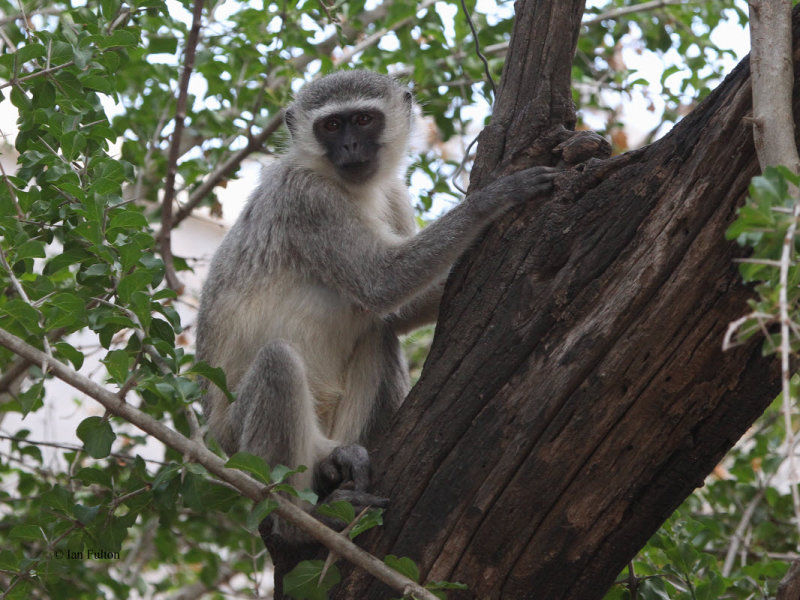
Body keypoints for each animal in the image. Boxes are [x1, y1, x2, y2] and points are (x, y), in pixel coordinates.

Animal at [195, 69, 556, 520]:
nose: (350, 146)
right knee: (278, 363)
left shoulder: (394, 194)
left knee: (377, 334)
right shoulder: (307, 197)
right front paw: (493, 199)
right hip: (238, 442)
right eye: (332, 125)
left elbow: (393, 310)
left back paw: (339, 463)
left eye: (364, 120)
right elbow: (380, 281)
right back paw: (300, 515)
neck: (350, 188)